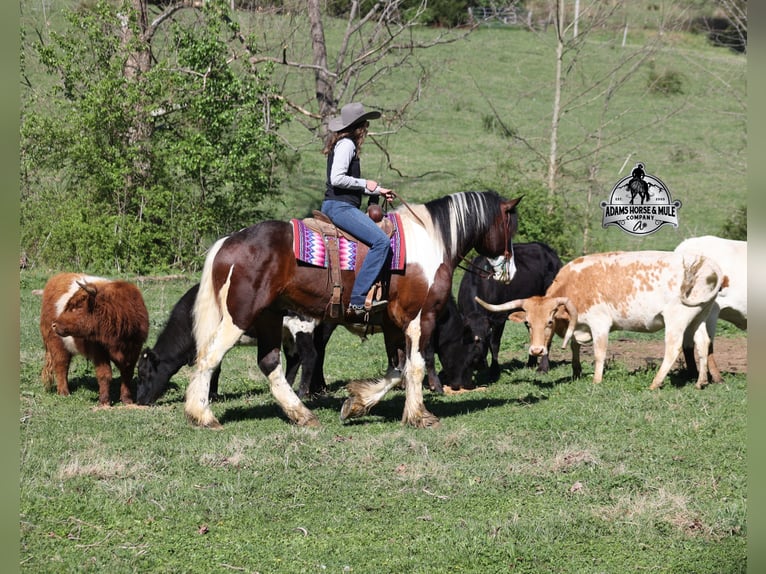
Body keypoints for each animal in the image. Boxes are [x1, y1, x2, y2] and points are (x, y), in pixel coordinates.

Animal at [187, 190, 521, 429]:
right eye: (510, 227)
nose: (511, 272)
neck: (430, 241)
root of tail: (228, 241)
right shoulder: (419, 318)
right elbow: (414, 366)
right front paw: (419, 415)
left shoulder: (393, 324)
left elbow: (397, 370)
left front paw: (357, 404)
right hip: (239, 317)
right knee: (209, 357)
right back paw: (202, 414)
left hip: (269, 316)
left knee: (270, 364)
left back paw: (302, 414)